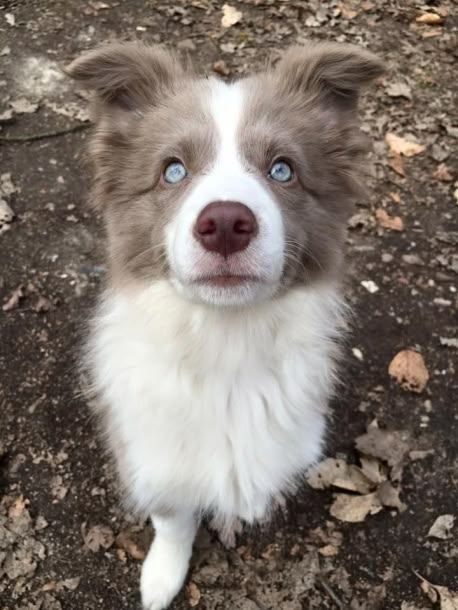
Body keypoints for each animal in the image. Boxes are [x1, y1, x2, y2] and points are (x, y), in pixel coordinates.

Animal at [66, 40, 384, 604]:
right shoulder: (154, 456)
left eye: (283, 170)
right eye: (172, 170)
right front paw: (161, 577)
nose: (226, 224)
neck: (225, 340)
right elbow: (172, 521)